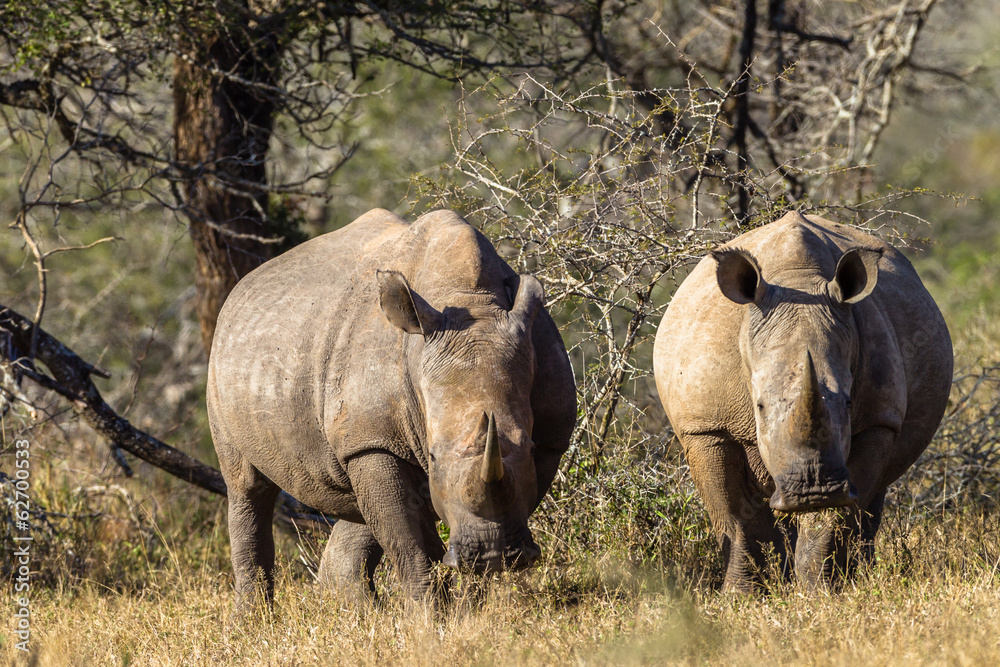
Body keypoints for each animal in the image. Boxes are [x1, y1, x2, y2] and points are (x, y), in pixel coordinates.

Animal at [207, 209, 576, 606]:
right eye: (432, 456)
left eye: (530, 448)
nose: (493, 554)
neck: (471, 298)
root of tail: (241, 288)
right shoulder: (375, 439)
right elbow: (411, 544)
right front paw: (433, 616)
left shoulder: (552, 435)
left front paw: (468, 602)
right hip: (226, 364)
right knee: (247, 487)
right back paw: (255, 617)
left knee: (358, 506)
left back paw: (355, 612)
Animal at [653, 212, 952, 591]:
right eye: (759, 407)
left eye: (848, 404)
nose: (813, 491)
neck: (798, 280)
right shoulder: (708, 426)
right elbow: (736, 516)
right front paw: (744, 595)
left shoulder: (877, 420)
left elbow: (838, 517)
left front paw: (822, 591)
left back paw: (859, 576)